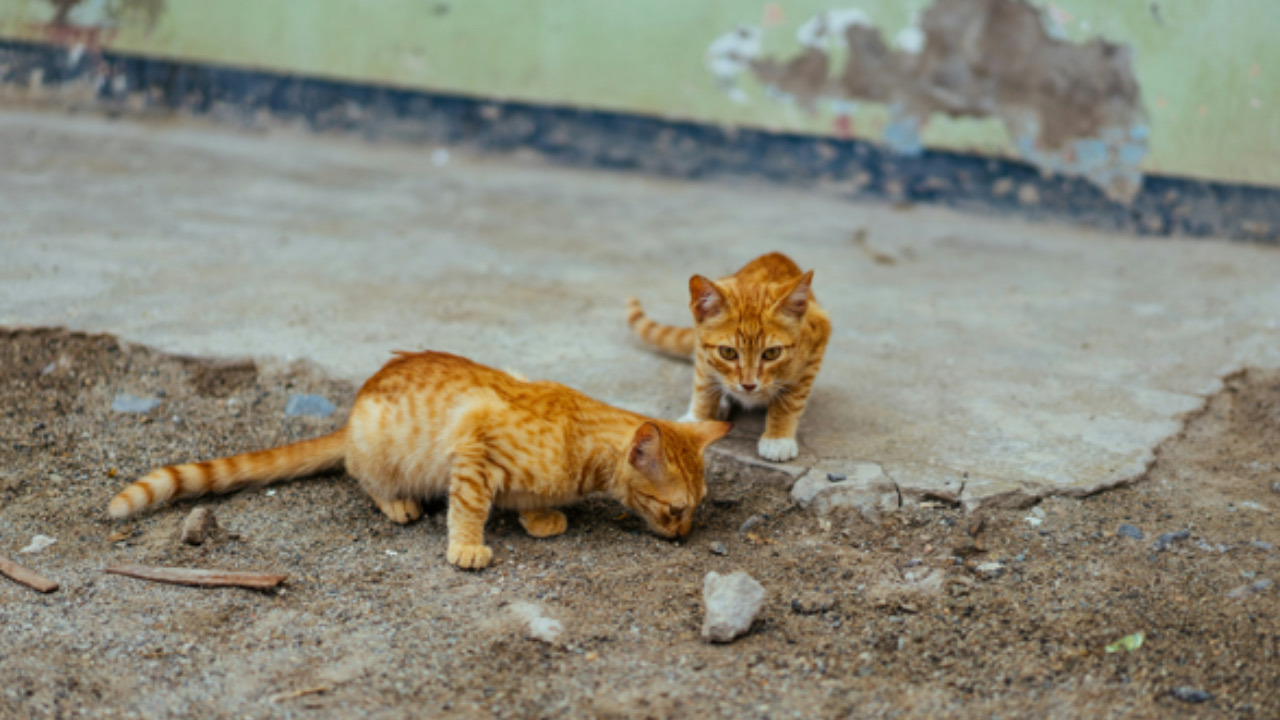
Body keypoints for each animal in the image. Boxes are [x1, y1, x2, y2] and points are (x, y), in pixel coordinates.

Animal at [110, 348, 732, 566]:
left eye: (696, 509)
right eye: (676, 509)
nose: (684, 537)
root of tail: (352, 412)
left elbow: (528, 501)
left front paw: (539, 517)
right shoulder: (475, 453)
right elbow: (469, 508)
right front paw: (467, 548)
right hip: (380, 450)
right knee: (363, 479)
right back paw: (397, 503)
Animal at [627, 252, 829, 458]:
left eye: (772, 353)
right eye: (728, 352)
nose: (749, 385)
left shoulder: (815, 349)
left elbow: (791, 400)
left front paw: (778, 437)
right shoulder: (702, 352)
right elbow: (703, 386)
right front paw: (698, 419)